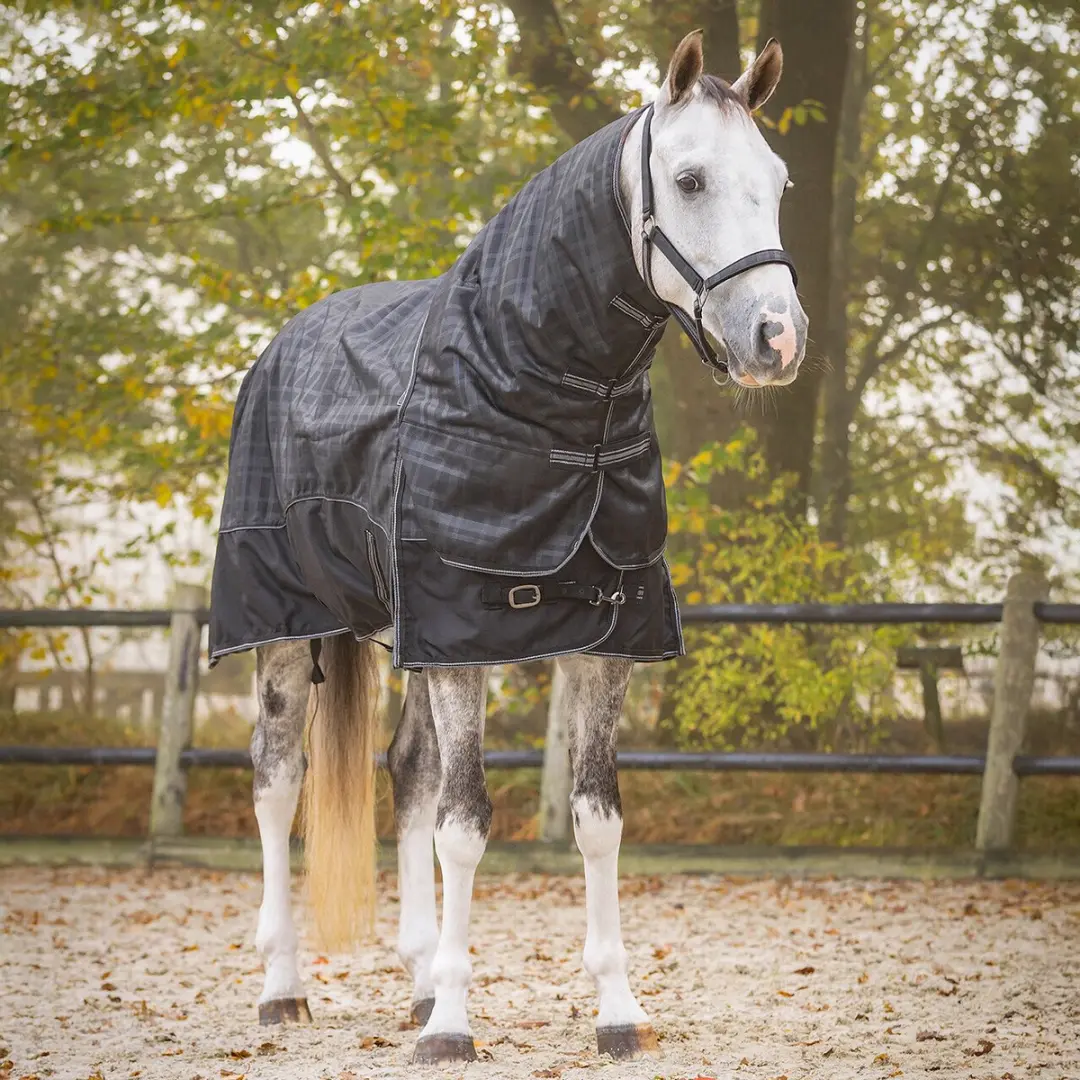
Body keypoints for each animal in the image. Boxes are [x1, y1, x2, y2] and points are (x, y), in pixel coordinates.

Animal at [213, 31, 808, 1064]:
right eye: (689, 179)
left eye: (776, 181)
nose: (777, 339)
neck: (543, 396)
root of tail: (286, 341)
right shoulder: (462, 640)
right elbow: (465, 826)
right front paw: (453, 1026)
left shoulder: (599, 644)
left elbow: (595, 821)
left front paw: (616, 1011)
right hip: (283, 631)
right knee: (277, 785)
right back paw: (283, 989)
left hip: (407, 638)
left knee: (406, 772)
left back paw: (412, 983)